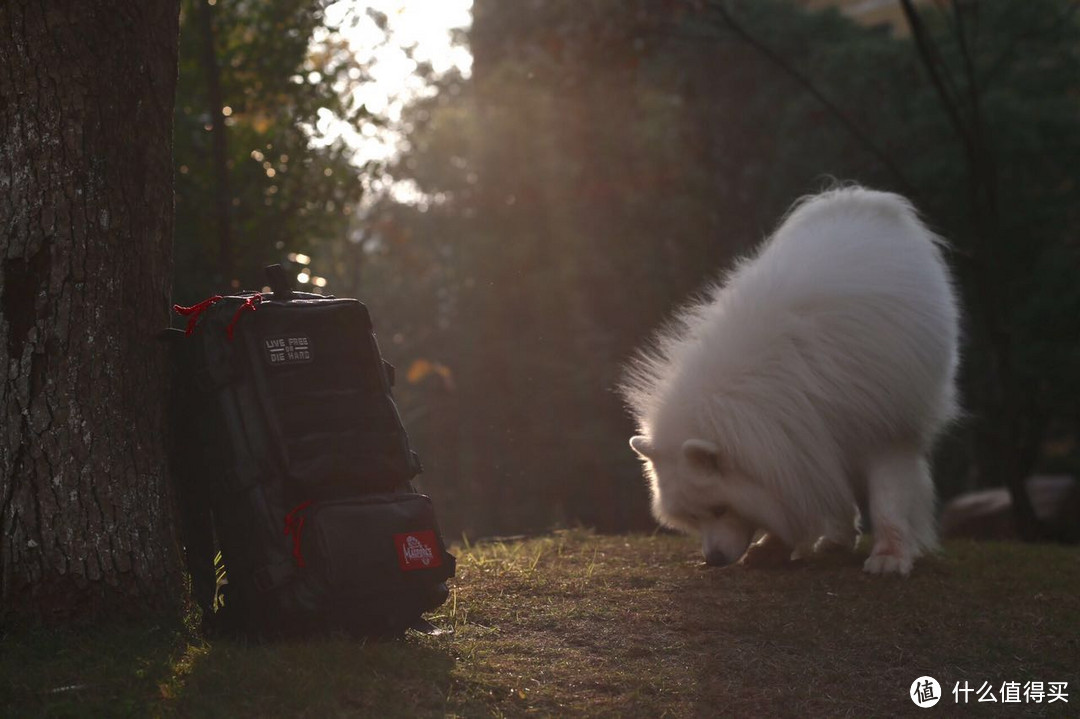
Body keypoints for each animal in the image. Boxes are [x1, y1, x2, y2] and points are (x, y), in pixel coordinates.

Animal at [626, 187, 963, 574]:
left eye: (720, 509)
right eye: (695, 518)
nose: (713, 560)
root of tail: (856, 199)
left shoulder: (885, 430)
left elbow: (886, 500)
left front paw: (890, 556)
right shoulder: (797, 442)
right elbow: (794, 499)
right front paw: (774, 545)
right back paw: (835, 539)